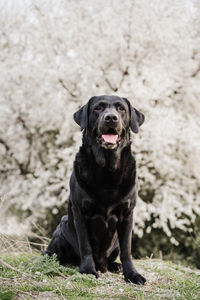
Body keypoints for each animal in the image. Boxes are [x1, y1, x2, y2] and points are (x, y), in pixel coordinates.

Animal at [43, 95, 146, 284]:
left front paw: (132, 274)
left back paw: (114, 266)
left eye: (121, 109)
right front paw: (87, 270)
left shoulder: (128, 213)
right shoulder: (80, 212)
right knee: (51, 252)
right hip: (63, 226)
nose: (111, 118)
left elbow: (127, 250)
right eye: (98, 108)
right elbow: (85, 245)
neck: (107, 171)